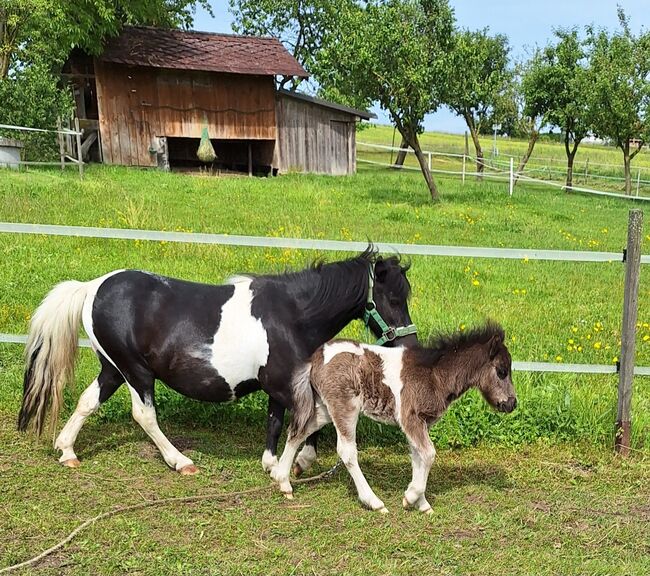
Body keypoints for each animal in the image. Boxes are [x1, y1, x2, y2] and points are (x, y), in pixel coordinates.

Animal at [20, 246, 418, 472]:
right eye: (393, 298)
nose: (409, 344)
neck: (292, 314)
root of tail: (92, 286)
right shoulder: (284, 382)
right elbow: (310, 419)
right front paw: (299, 460)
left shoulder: (282, 383)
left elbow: (276, 421)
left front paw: (273, 462)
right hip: (135, 371)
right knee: (144, 415)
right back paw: (180, 462)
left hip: (113, 368)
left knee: (89, 401)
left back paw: (66, 450)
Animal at [270, 324, 512, 512]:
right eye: (501, 371)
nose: (511, 404)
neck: (434, 375)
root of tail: (316, 359)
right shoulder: (410, 418)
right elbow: (429, 454)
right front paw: (411, 497)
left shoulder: (419, 424)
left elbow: (418, 457)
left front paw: (421, 504)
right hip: (345, 407)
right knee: (346, 451)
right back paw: (374, 502)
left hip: (324, 410)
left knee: (297, 431)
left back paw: (284, 483)